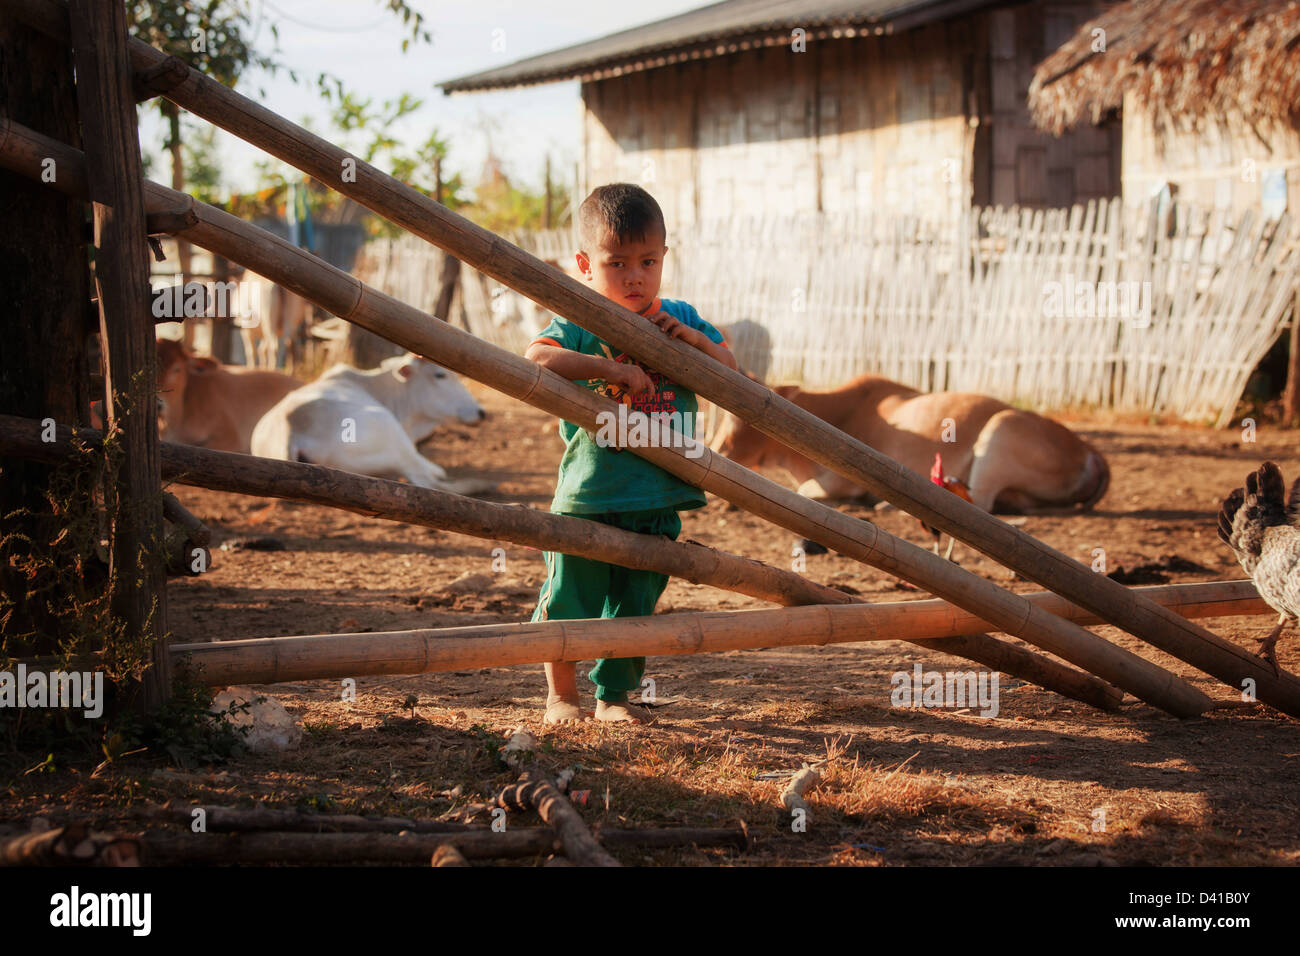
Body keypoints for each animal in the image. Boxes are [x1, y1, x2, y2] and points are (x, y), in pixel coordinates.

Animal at [712, 371, 1107, 515]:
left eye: (737, 414)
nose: (717, 449)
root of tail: (1086, 448)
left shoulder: (839, 480)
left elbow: (807, 492)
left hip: (1000, 430)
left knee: (978, 503)